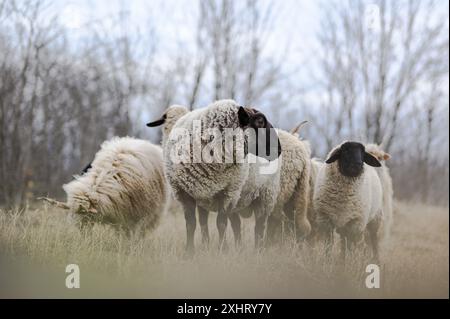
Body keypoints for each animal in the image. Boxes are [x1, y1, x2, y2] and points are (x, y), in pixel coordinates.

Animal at [162, 100, 282, 255]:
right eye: (260, 121)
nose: (279, 149)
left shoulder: (227, 193)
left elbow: (221, 223)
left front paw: (222, 251)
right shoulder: (184, 193)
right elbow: (191, 224)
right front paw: (189, 253)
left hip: (265, 195)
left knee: (259, 227)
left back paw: (258, 251)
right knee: (235, 224)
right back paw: (237, 248)